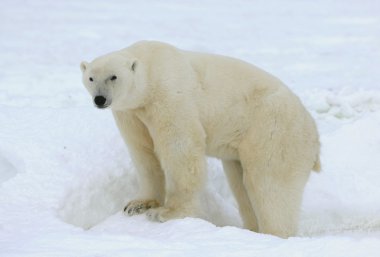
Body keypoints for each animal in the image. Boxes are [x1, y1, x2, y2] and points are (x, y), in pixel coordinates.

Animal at [81, 40, 320, 238]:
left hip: (274, 130)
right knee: (241, 185)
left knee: (270, 184)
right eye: (91, 78)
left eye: (113, 76)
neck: (150, 68)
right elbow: (143, 153)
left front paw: (167, 213)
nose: (100, 99)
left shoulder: (169, 95)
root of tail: (314, 133)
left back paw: (273, 234)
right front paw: (137, 205)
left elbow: (180, 147)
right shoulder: (131, 113)